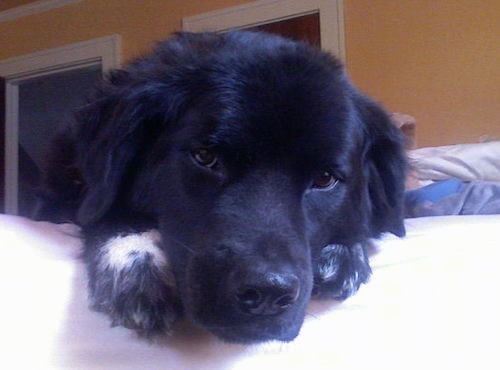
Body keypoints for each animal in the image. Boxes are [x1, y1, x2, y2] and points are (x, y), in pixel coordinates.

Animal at [38, 31, 406, 344]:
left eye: (325, 178)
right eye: (205, 157)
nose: (268, 293)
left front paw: (345, 251)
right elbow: (104, 209)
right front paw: (138, 261)